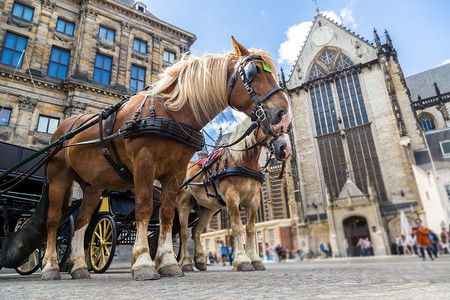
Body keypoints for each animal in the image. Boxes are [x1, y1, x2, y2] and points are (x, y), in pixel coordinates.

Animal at [176, 117, 292, 272]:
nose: (285, 148)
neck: (244, 160)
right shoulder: (232, 197)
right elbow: (237, 227)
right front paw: (243, 260)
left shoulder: (254, 200)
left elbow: (250, 229)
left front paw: (255, 260)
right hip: (184, 205)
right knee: (182, 233)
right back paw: (185, 264)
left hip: (207, 210)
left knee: (195, 231)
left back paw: (199, 261)